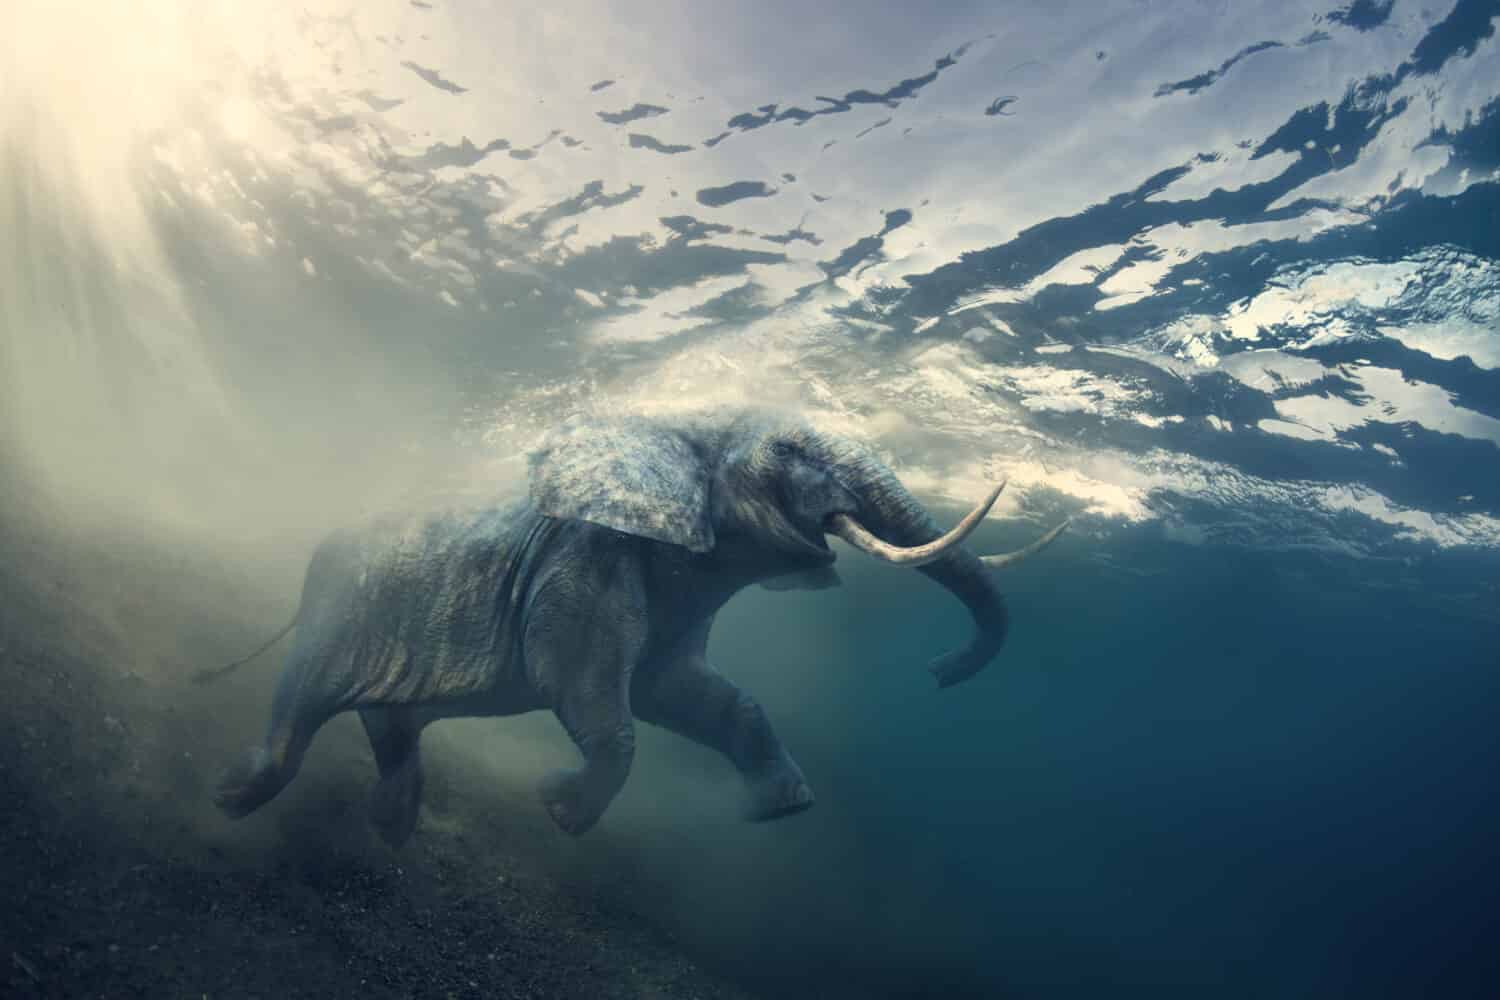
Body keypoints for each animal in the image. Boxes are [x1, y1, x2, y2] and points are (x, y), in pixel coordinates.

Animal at [209, 407, 1068, 843]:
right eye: (791, 448)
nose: (940, 671)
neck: (679, 428)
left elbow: (688, 694)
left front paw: (784, 808)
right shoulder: (588, 559)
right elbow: (587, 689)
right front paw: (560, 810)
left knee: (392, 728)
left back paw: (390, 832)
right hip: (331, 613)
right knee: (299, 713)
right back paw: (230, 801)